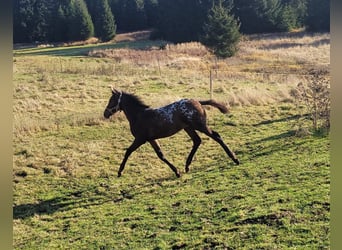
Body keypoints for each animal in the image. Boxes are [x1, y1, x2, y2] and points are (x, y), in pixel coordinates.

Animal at [103, 88, 239, 178]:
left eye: (112, 100)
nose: (105, 113)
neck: (138, 115)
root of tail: (198, 102)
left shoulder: (140, 139)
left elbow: (128, 151)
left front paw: (119, 172)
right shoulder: (151, 139)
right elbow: (161, 155)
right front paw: (177, 172)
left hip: (200, 125)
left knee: (216, 136)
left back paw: (235, 159)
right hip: (188, 128)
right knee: (197, 141)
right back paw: (187, 166)